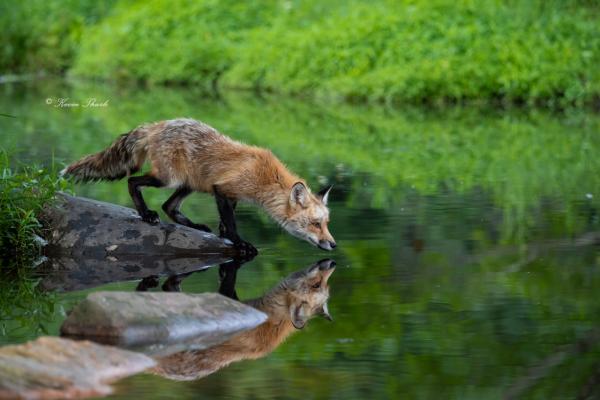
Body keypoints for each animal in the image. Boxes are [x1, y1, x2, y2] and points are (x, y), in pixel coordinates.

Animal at [62, 117, 336, 253]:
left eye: (326, 224)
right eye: (315, 224)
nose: (333, 244)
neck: (265, 177)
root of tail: (155, 126)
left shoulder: (230, 195)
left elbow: (226, 221)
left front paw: (224, 235)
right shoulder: (222, 189)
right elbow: (231, 223)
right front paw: (239, 242)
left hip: (188, 183)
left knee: (169, 206)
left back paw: (194, 226)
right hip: (168, 179)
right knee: (133, 182)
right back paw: (145, 214)